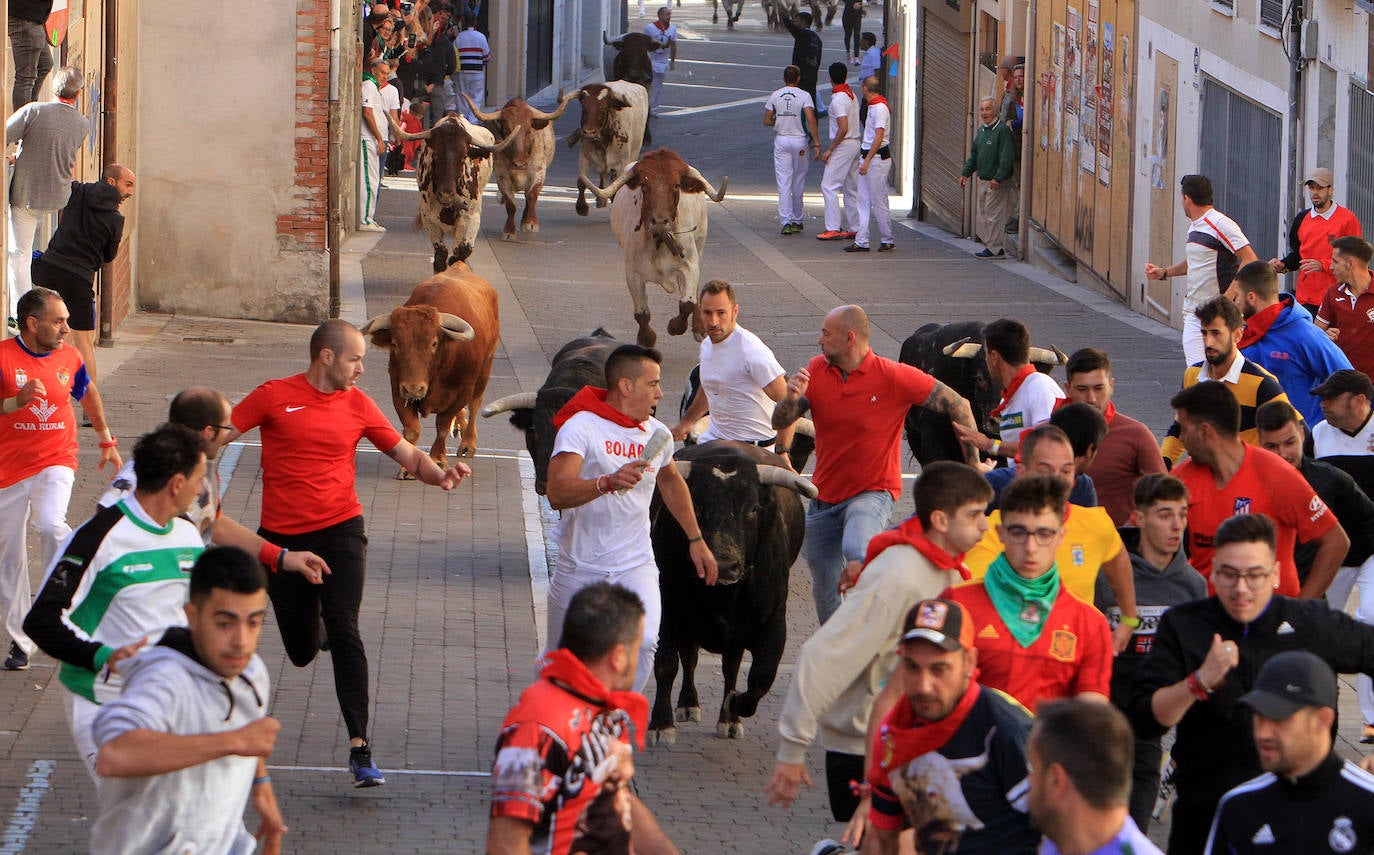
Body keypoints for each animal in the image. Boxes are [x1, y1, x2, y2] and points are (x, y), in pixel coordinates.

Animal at [359, 261, 500, 475]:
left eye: (433, 343)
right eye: (395, 344)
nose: (414, 388)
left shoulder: (461, 393)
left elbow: (442, 426)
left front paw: (437, 458)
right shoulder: (398, 390)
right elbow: (412, 430)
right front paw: (407, 468)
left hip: (486, 368)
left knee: (476, 404)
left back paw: (468, 444)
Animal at [467, 93, 574, 241]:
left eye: (529, 130)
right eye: (507, 129)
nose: (520, 163)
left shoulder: (539, 172)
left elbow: (531, 196)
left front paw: (530, 223)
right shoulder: (502, 177)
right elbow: (510, 204)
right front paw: (509, 231)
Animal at [645, 445, 807, 747]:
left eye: (753, 508)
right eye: (697, 506)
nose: (722, 565)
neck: (723, 595)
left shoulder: (772, 620)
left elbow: (761, 675)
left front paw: (735, 707)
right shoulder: (668, 611)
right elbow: (666, 665)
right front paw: (661, 725)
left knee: (730, 668)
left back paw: (728, 719)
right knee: (690, 658)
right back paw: (688, 704)